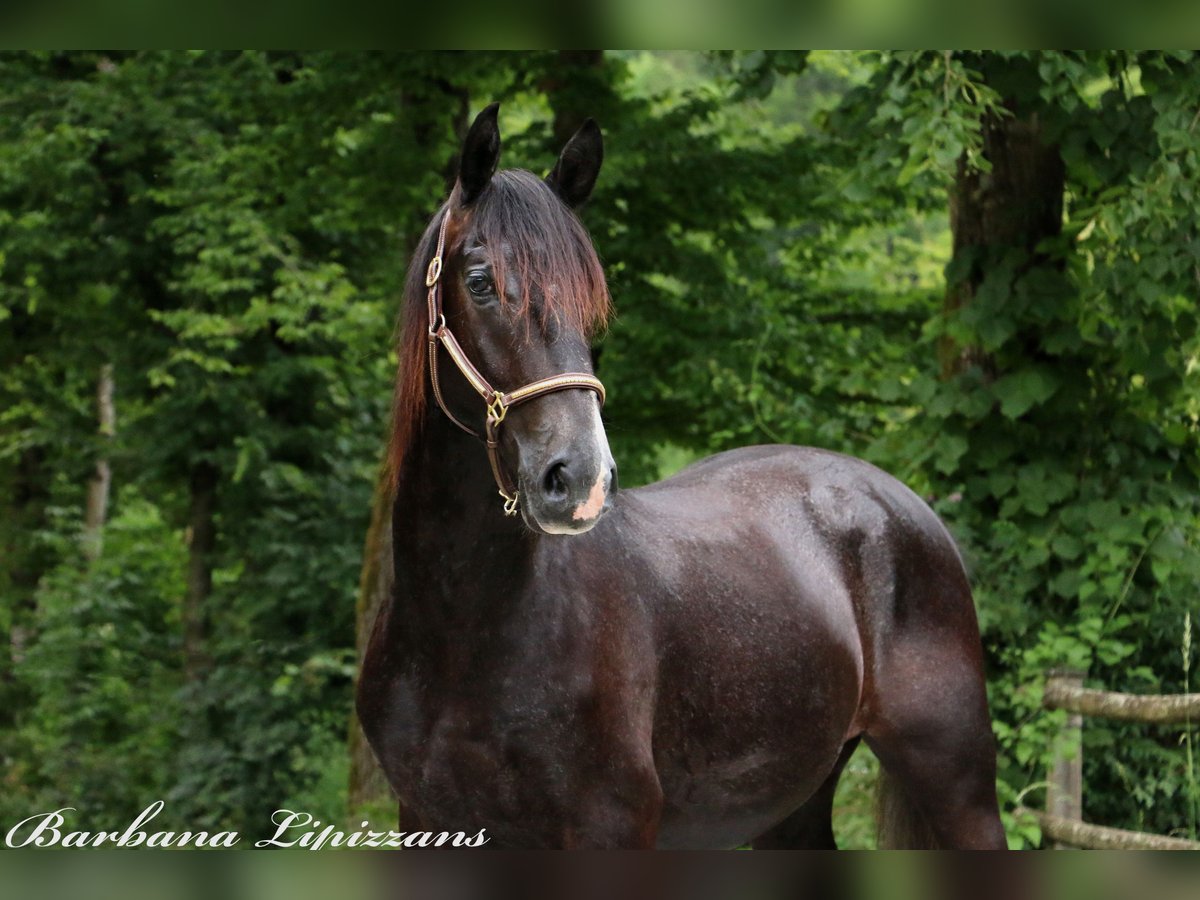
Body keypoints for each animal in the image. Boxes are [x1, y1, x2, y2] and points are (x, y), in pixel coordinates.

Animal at [352, 105, 1003, 854]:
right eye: (481, 280)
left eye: (593, 300)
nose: (580, 479)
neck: (463, 631)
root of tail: (899, 503)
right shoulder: (425, 820)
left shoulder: (611, 827)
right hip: (793, 804)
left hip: (957, 783)